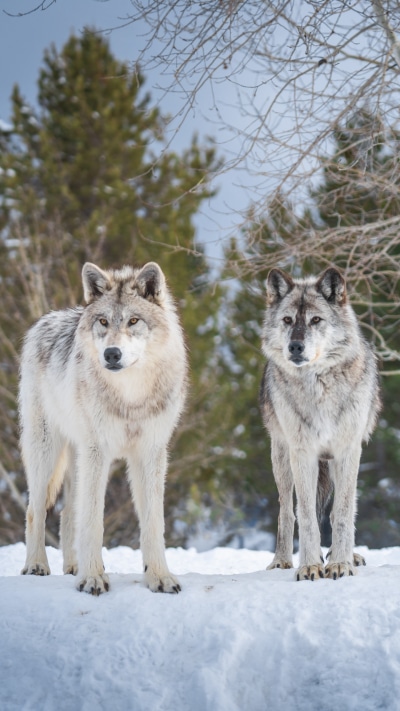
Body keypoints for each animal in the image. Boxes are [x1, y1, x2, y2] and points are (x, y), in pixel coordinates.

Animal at [19, 261, 187, 595]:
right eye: (103, 321)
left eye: (133, 320)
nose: (111, 353)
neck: (131, 396)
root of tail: (47, 318)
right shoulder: (98, 451)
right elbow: (93, 519)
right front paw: (94, 578)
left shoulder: (150, 453)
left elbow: (153, 523)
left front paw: (159, 577)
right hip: (46, 450)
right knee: (36, 510)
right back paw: (37, 566)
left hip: (77, 456)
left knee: (68, 512)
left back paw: (72, 567)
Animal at [260, 267, 381, 581]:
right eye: (288, 320)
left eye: (316, 320)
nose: (295, 346)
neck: (319, 386)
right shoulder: (303, 453)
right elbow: (305, 516)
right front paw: (310, 566)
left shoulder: (347, 451)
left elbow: (343, 512)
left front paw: (340, 563)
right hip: (281, 459)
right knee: (286, 512)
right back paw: (281, 560)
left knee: (341, 510)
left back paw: (349, 555)